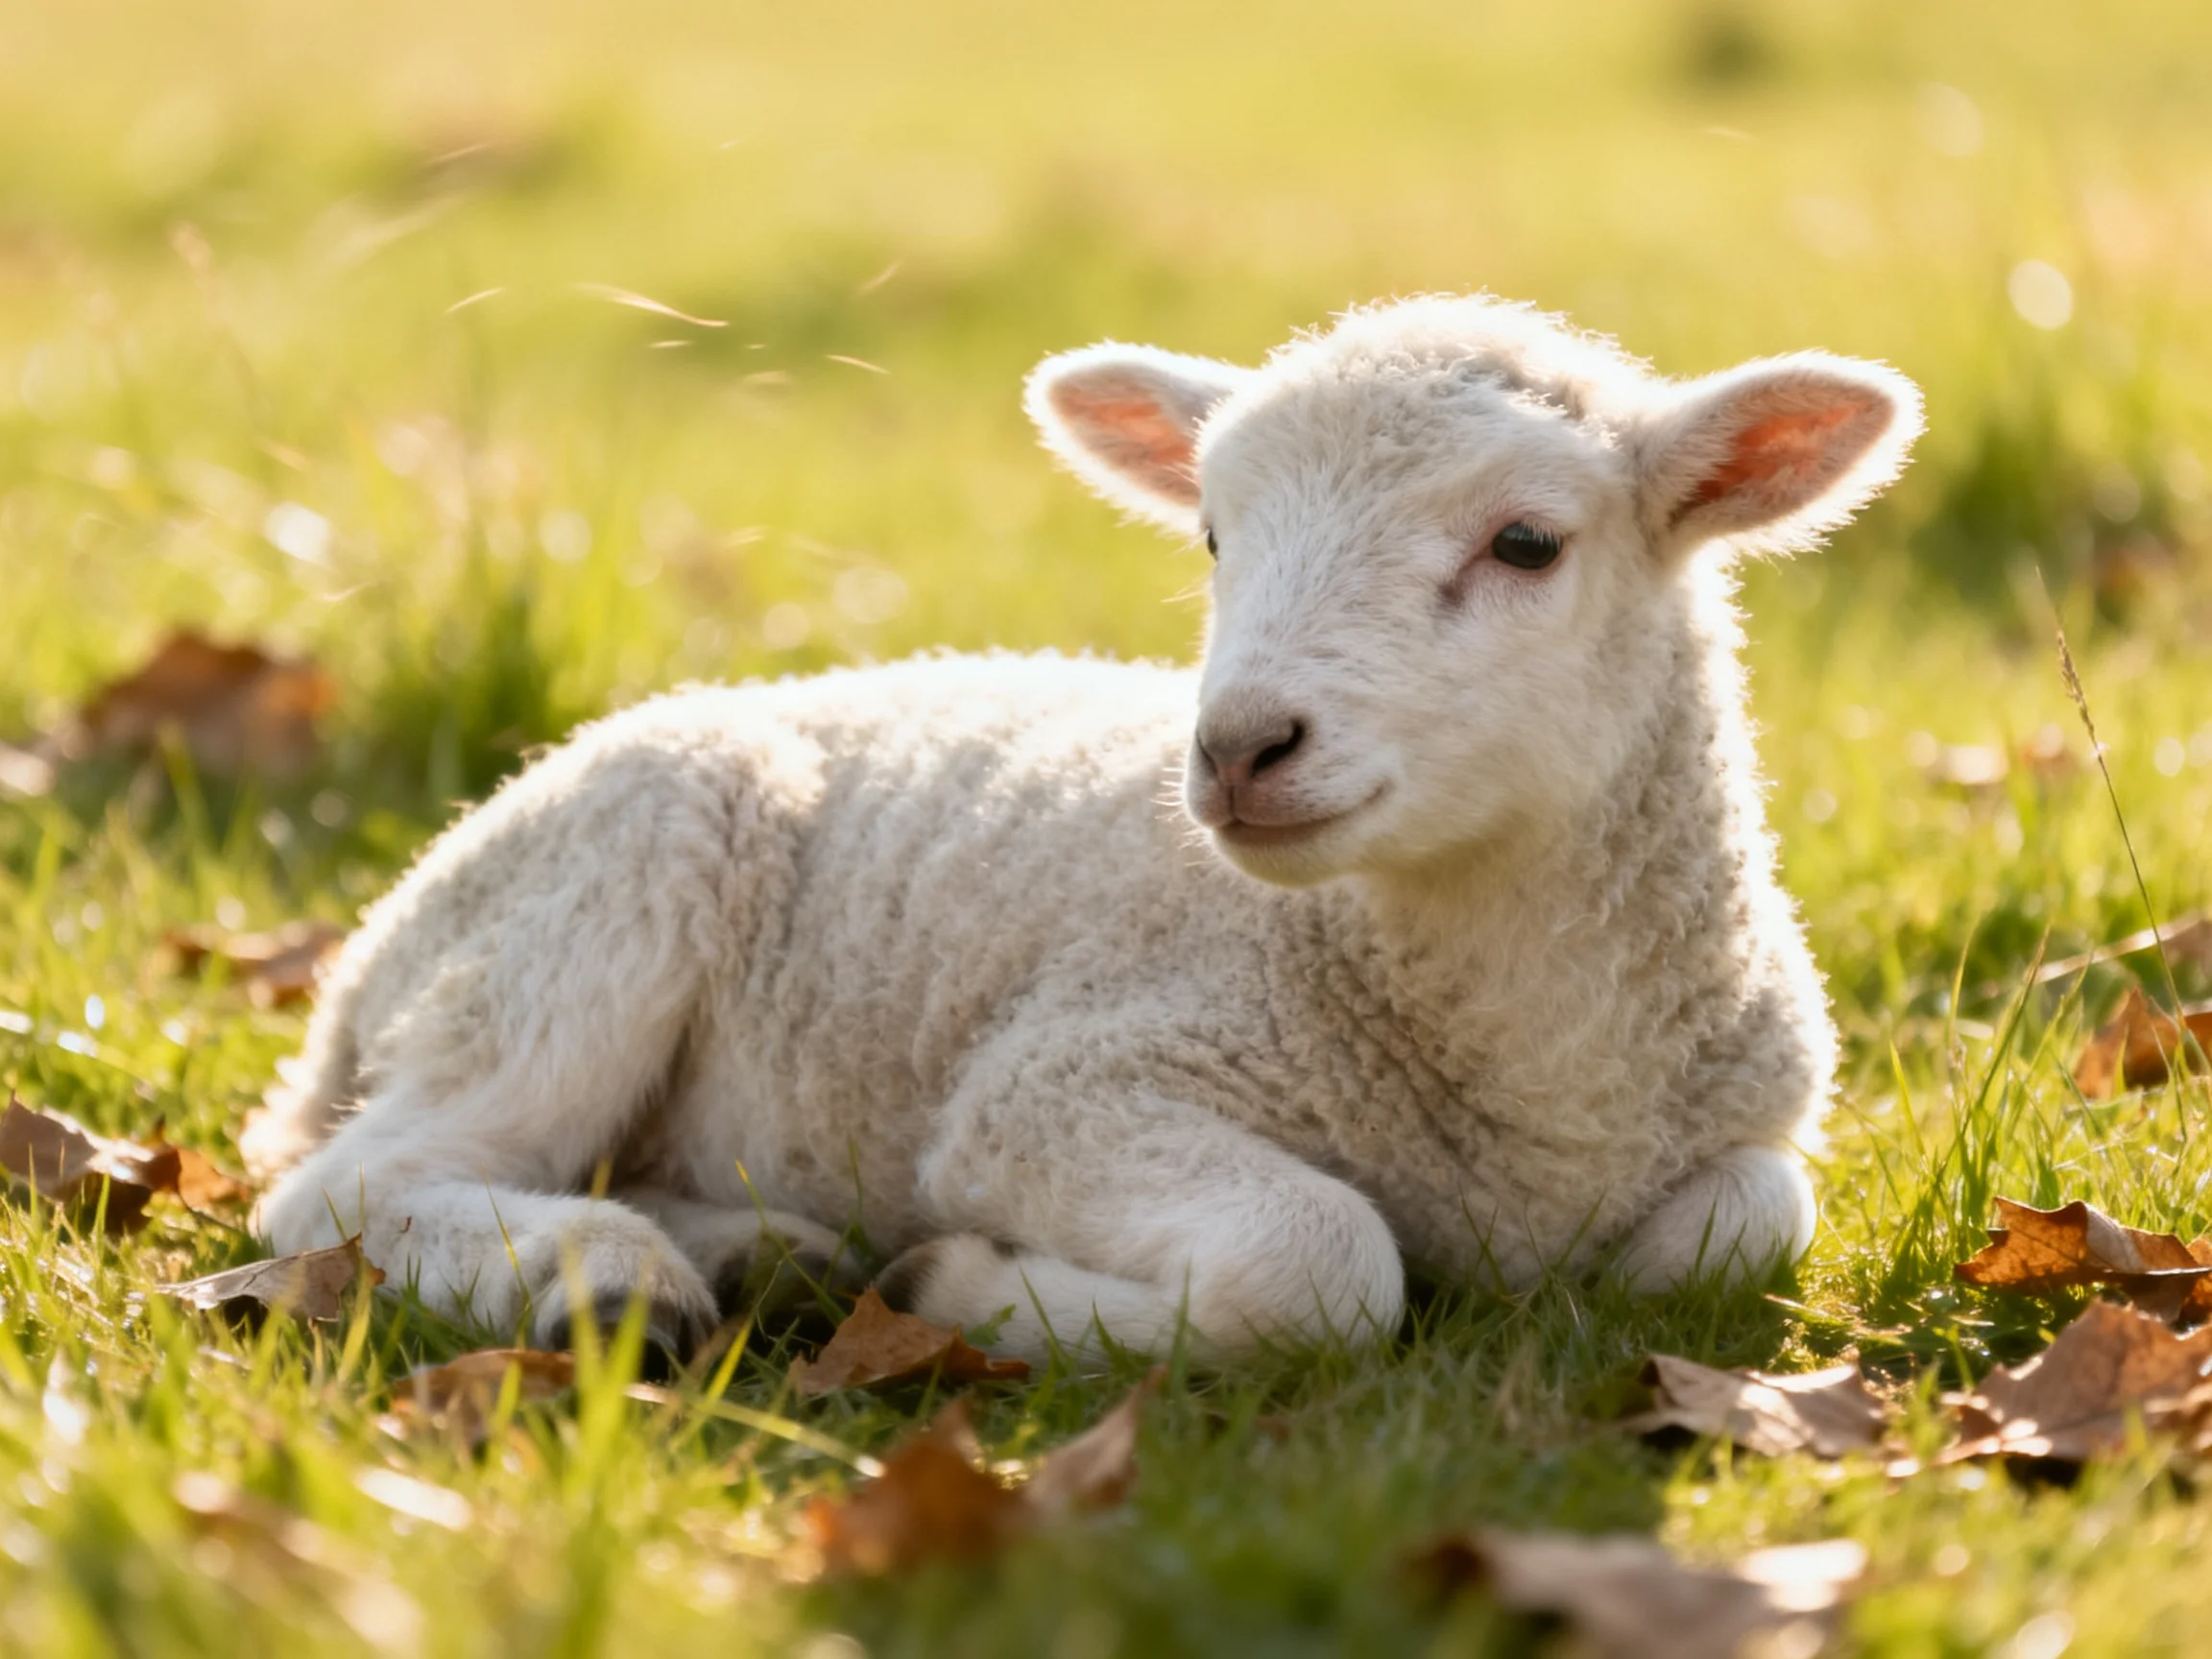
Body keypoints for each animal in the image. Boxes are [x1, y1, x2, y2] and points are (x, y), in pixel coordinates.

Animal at [248, 294, 1921, 1366]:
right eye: (1214, 536)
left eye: (1527, 543)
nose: (1239, 748)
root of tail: (360, 973)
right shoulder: (1056, 1090)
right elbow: (1321, 1268)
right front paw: (963, 1285)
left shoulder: (1750, 1133)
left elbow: (1734, 1235)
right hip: (597, 903)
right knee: (346, 1185)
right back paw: (599, 1279)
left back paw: (757, 1254)